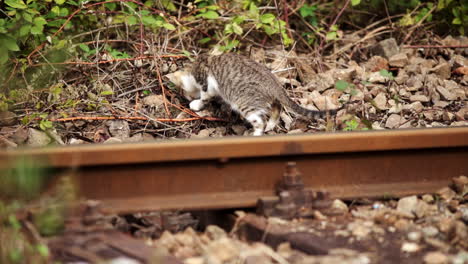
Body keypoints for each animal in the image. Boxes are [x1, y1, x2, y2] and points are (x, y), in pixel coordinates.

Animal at [166, 53, 342, 136]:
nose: (185, 98)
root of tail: (274, 84)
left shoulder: (206, 83)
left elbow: (205, 96)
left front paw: (196, 104)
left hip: (246, 103)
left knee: (260, 121)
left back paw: (257, 133)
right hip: (267, 100)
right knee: (277, 108)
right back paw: (271, 125)